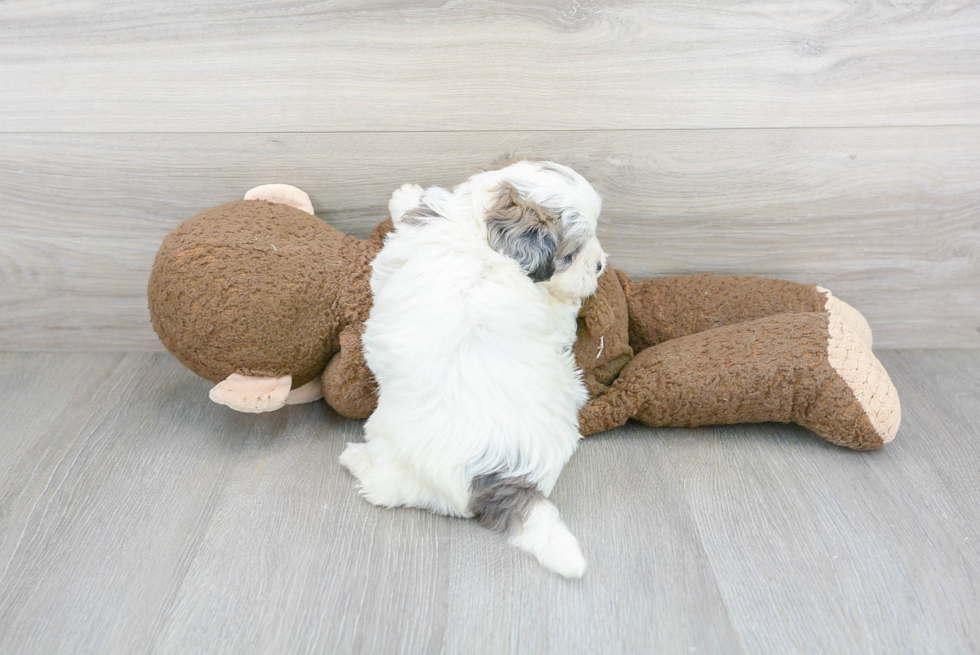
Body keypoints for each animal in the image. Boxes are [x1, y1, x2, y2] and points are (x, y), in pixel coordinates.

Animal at [342, 160, 604, 580]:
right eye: (571, 254)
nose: (600, 266)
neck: (485, 241)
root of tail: (506, 477)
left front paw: (404, 195)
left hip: (401, 457)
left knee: (388, 488)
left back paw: (356, 460)